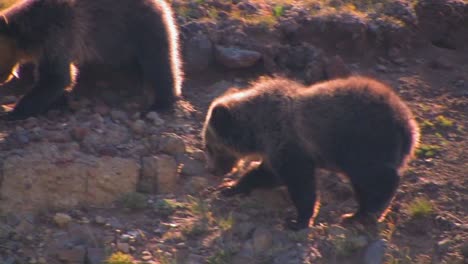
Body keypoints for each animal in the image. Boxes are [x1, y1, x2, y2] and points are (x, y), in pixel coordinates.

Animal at [0, 0, 183, 119]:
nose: (3, 80)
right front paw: (59, 101)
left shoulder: (58, 37)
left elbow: (56, 78)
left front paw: (12, 111)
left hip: (140, 26)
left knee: (159, 62)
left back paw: (160, 102)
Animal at [203, 75, 418, 230]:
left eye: (209, 147)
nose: (214, 171)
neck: (257, 129)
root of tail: (408, 125)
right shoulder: (275, 149)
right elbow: (267, 174)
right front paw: (230, 187)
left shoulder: (289, 144)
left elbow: (300, 183)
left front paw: (298, 221)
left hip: (364, 142)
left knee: (376, 179)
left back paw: (361, 215)